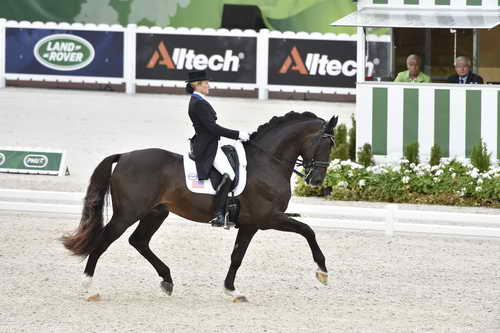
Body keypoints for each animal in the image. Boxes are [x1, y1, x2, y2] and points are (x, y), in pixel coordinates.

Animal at [61, 111, 336, 300]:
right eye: (325, 143)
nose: (316, 180)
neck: (267, 162)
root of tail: (125, 156)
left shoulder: (252, 223)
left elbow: (237, 256)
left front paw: (231, 290)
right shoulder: (266, 218)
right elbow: (307, 231)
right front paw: (322, 272)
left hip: (155, 213)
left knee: (138, 241)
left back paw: (167, 280)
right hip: (127, 214)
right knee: (104, 241)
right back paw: (87, 287)